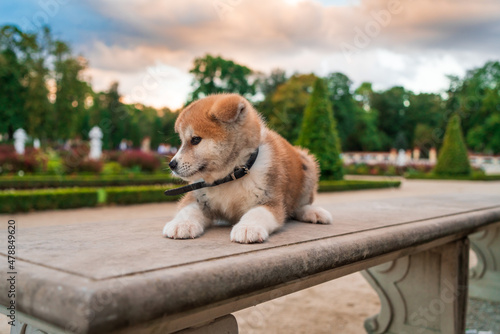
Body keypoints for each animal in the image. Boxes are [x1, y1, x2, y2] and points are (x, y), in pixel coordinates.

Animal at [163, 92, 332, 244]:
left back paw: (314, 212)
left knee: (298, 206)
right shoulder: (198, 196)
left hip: (308, 165)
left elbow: (256, 213)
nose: (172, 164)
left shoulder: (270, 200)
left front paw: (248, 228)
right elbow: (187, 210)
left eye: (195, 140)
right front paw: (181, 224)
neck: (230, 176)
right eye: (182, 141)